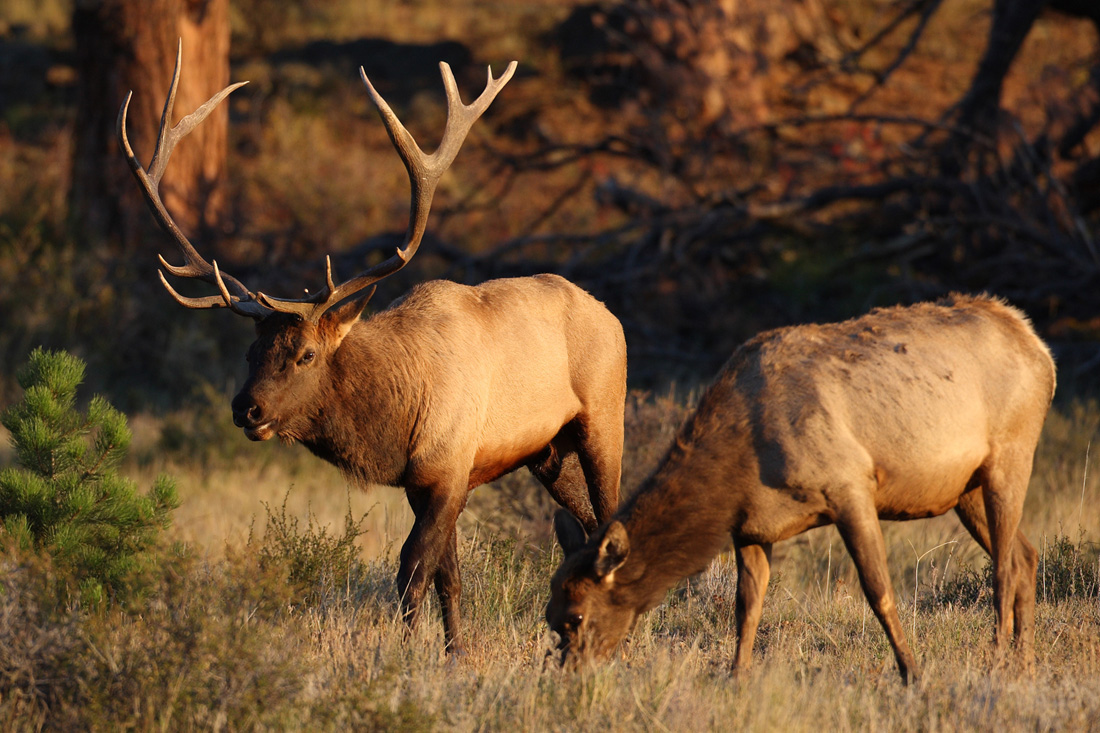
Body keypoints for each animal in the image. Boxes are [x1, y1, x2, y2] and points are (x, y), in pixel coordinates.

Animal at [120, 44, 629, 651]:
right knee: (590, 529)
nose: (247, 408)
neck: (396, 418)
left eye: (306, 354)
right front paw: (454, 655)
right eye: (249, 353)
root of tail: (612, 316)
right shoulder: (422, 482)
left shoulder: (450, 466)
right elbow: (448, 577)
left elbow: (412, 570)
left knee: (616, 519)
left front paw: (407, 655)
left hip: (604, 419)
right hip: (548, 453)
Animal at [550, 294, 1056, 682]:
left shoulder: (850, 486)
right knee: (1025, 556)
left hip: (1012, 452)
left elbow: (879, 591)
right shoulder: (753, 527)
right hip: (966, 487)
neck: (741, 465)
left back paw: (997, 663)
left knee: (1004, 567)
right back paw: (1026, 667)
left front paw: (912, 672)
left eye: (576, 616)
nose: (569, 677)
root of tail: (1039, 347)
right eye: (551, 614)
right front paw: (736, 678)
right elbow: (746, 607)